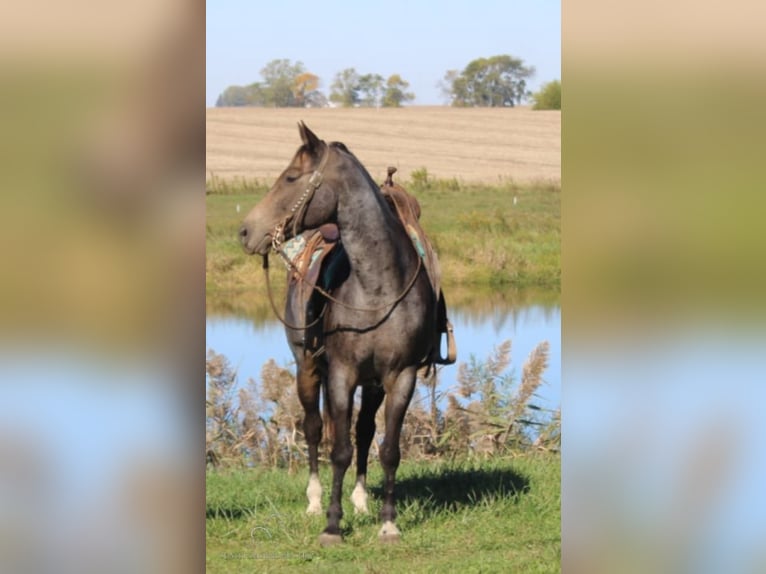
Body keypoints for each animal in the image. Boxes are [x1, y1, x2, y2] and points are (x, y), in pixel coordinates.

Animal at [238, 124, 450, 548]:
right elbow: (338, 449)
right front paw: (332, 526)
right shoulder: (340, 374)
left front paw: (388, 524)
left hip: (372, 384)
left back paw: (362, 501)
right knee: (314, 429)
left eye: (291, 177)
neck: (378, 286)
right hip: (307, 368)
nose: (246, 231)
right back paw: (315, 501)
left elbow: (388, 449)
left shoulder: (400, 377)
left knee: (365, 432)